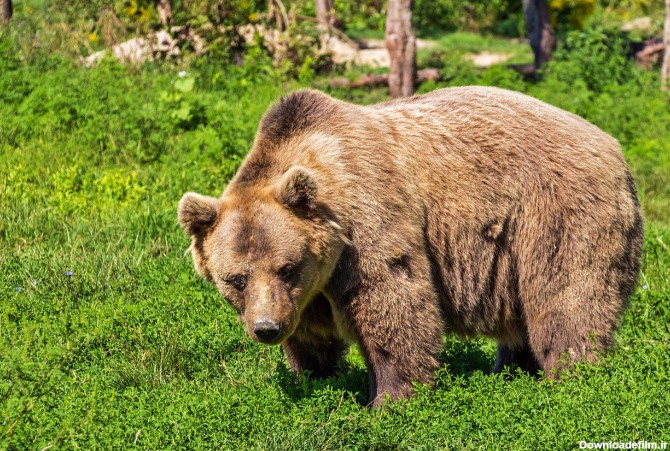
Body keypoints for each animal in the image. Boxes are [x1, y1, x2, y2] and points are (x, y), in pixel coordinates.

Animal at [178, 86, 644, 408]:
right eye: (235, 279)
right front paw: (317, 378)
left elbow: (393, 303)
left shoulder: (368, 222)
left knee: (567, 299)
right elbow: (312, 335)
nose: (266, 328)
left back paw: (570, 378)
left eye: (286, 267)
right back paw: (511, 371)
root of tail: (614, 147)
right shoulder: (309, 289)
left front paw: (389, 399)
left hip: (556, 214)